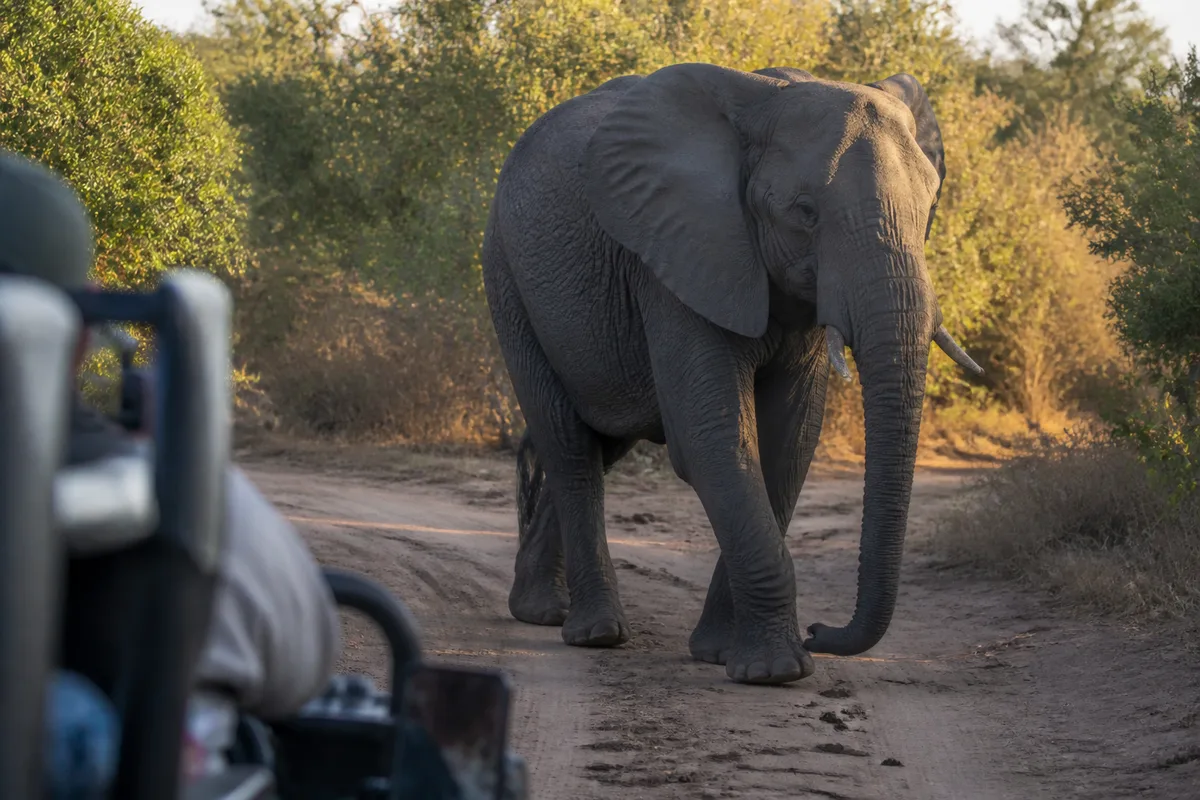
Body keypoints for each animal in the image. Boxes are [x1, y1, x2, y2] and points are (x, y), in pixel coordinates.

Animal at [481, 62, 982, 686]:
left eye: (929, 207)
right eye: (804, 213)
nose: (822, 631)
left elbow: (788, 445)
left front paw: (721, 654)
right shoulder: (676, 257)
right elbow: (715, 438)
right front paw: (775, 672)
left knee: (601, 442)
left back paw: (538, 611)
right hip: (507, 277)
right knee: (568, 444)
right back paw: (594, 633)